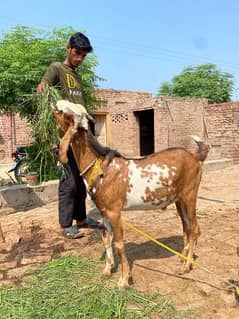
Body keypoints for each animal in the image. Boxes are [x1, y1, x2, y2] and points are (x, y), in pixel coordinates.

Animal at [52, 101, 209, 292]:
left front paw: (123, 280)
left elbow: (119, 243)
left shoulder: (114, 211)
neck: (101, 168)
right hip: (179, 200)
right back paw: (183, 258)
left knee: (195, 228)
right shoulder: (104, 211)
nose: (54, 102)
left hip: (189, 195)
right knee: (186, 226)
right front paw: (107, 270)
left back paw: (186, 266)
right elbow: (106, 238)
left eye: (63, 112)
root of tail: (195, 156)